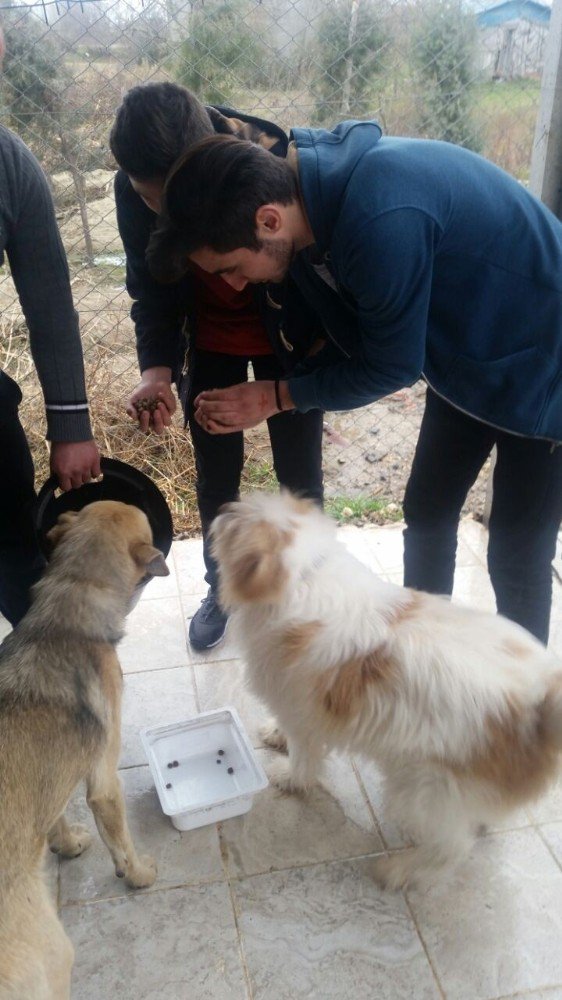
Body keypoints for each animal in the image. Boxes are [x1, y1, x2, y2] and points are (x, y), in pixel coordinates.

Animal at [0, 504, 168, 996]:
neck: (64, 616)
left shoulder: (52, 775)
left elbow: (54, 817)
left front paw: (67, 844)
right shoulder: (104, 783)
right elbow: (122, 842)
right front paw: (138, 876)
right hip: (54, 954)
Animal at [210, 492, 560, 892]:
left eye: (237, 527)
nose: (221, 512)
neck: (309, 571)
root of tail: (541, 701)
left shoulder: (301, 711)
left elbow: (302, 756)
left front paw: (289, 777)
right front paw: (275, 733)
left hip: (423, 787)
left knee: (452, 848)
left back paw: (403, 871)